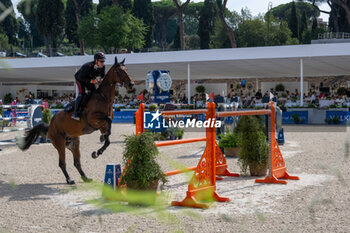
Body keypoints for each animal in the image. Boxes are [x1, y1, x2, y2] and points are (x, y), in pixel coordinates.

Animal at [17, 56, 135, 184]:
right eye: (119, 70)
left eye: (127, 69)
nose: (131, 84)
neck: (103, 98)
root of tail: (50, 125)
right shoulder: (93, 119)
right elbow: (108, 121)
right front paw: (101, 139)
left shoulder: (102, 125)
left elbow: (108, 138)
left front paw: (97, 152)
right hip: (60, 143)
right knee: (62, 163)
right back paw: (69, 180)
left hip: (74, 144)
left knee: (76, 162)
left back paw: (86, 177)